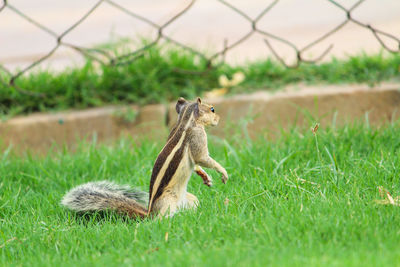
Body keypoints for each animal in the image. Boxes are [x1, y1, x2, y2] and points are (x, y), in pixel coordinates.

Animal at [60, 97, 228, 219]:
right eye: (212, 109)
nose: (219, 118)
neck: (186, 120)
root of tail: (149, 213)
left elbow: (197, 163)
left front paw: (205, 176)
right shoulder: (197, 137)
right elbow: (202, 158)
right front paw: (223, 172)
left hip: (190, 199)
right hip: (168, 202)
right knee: (159, 220)